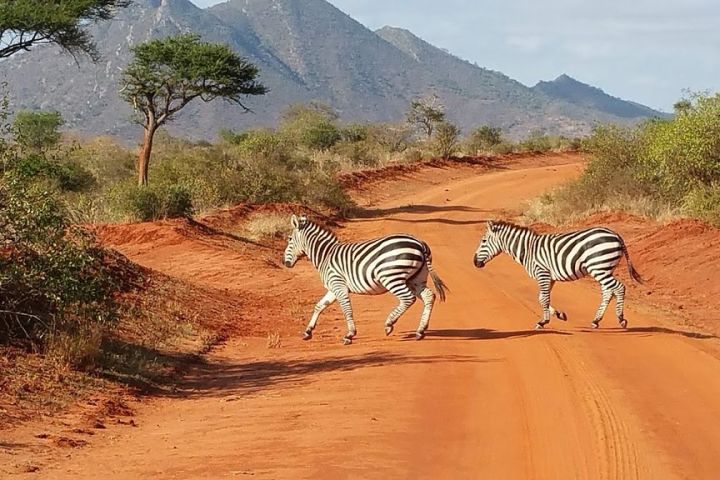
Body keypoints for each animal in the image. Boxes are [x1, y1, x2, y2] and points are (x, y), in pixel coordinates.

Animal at [284, 215, 448, 344]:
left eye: (290, 239)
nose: (284, 263)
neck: (325, 255)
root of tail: (419, 243)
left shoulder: (339, 285)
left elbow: (347, 309)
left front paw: (349, 335)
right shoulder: (333, 287)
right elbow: (319, 306)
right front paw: (308, 331)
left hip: (391, 277)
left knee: (408, 298)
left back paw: (389, 324)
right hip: (416, 278)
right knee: (429, 296)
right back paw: (420, 331)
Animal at [472, 221, 640, 330]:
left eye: (484, 241)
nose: (475, 262)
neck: (528, 249)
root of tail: (615, 234)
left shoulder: (542, 273)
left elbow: (544, 298)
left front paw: (543, 322)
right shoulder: (549, 277)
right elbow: (541, 297)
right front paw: (559, 315)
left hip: (599, 267)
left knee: (619, 288)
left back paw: (621, 319)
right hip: (603, 268)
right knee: (608, 292)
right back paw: (596, 320)